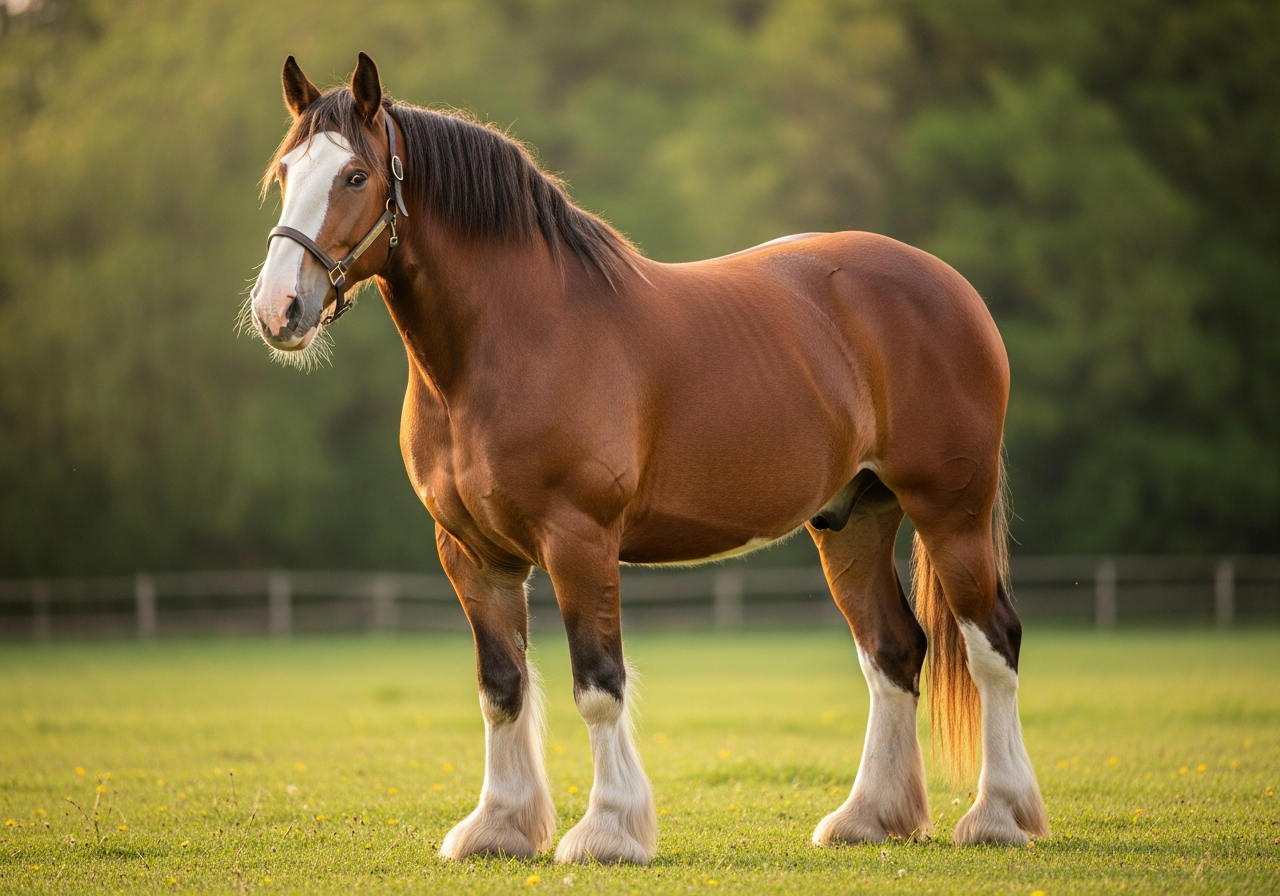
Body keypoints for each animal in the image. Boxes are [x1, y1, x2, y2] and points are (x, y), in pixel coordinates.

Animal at [249, 53, 1048, 864]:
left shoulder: (579, 540)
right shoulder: (472, 553)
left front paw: (608, 830)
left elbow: (598, 683)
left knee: (993, 643)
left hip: (951, 509)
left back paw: (998, 816)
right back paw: (869, 817)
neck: (514, 338)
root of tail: (949, 286)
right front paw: (499, 827)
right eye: (284, 172)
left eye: (354, 176)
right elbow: (500, 686)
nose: (279, 309)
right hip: (853, 520)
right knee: (893, 651)